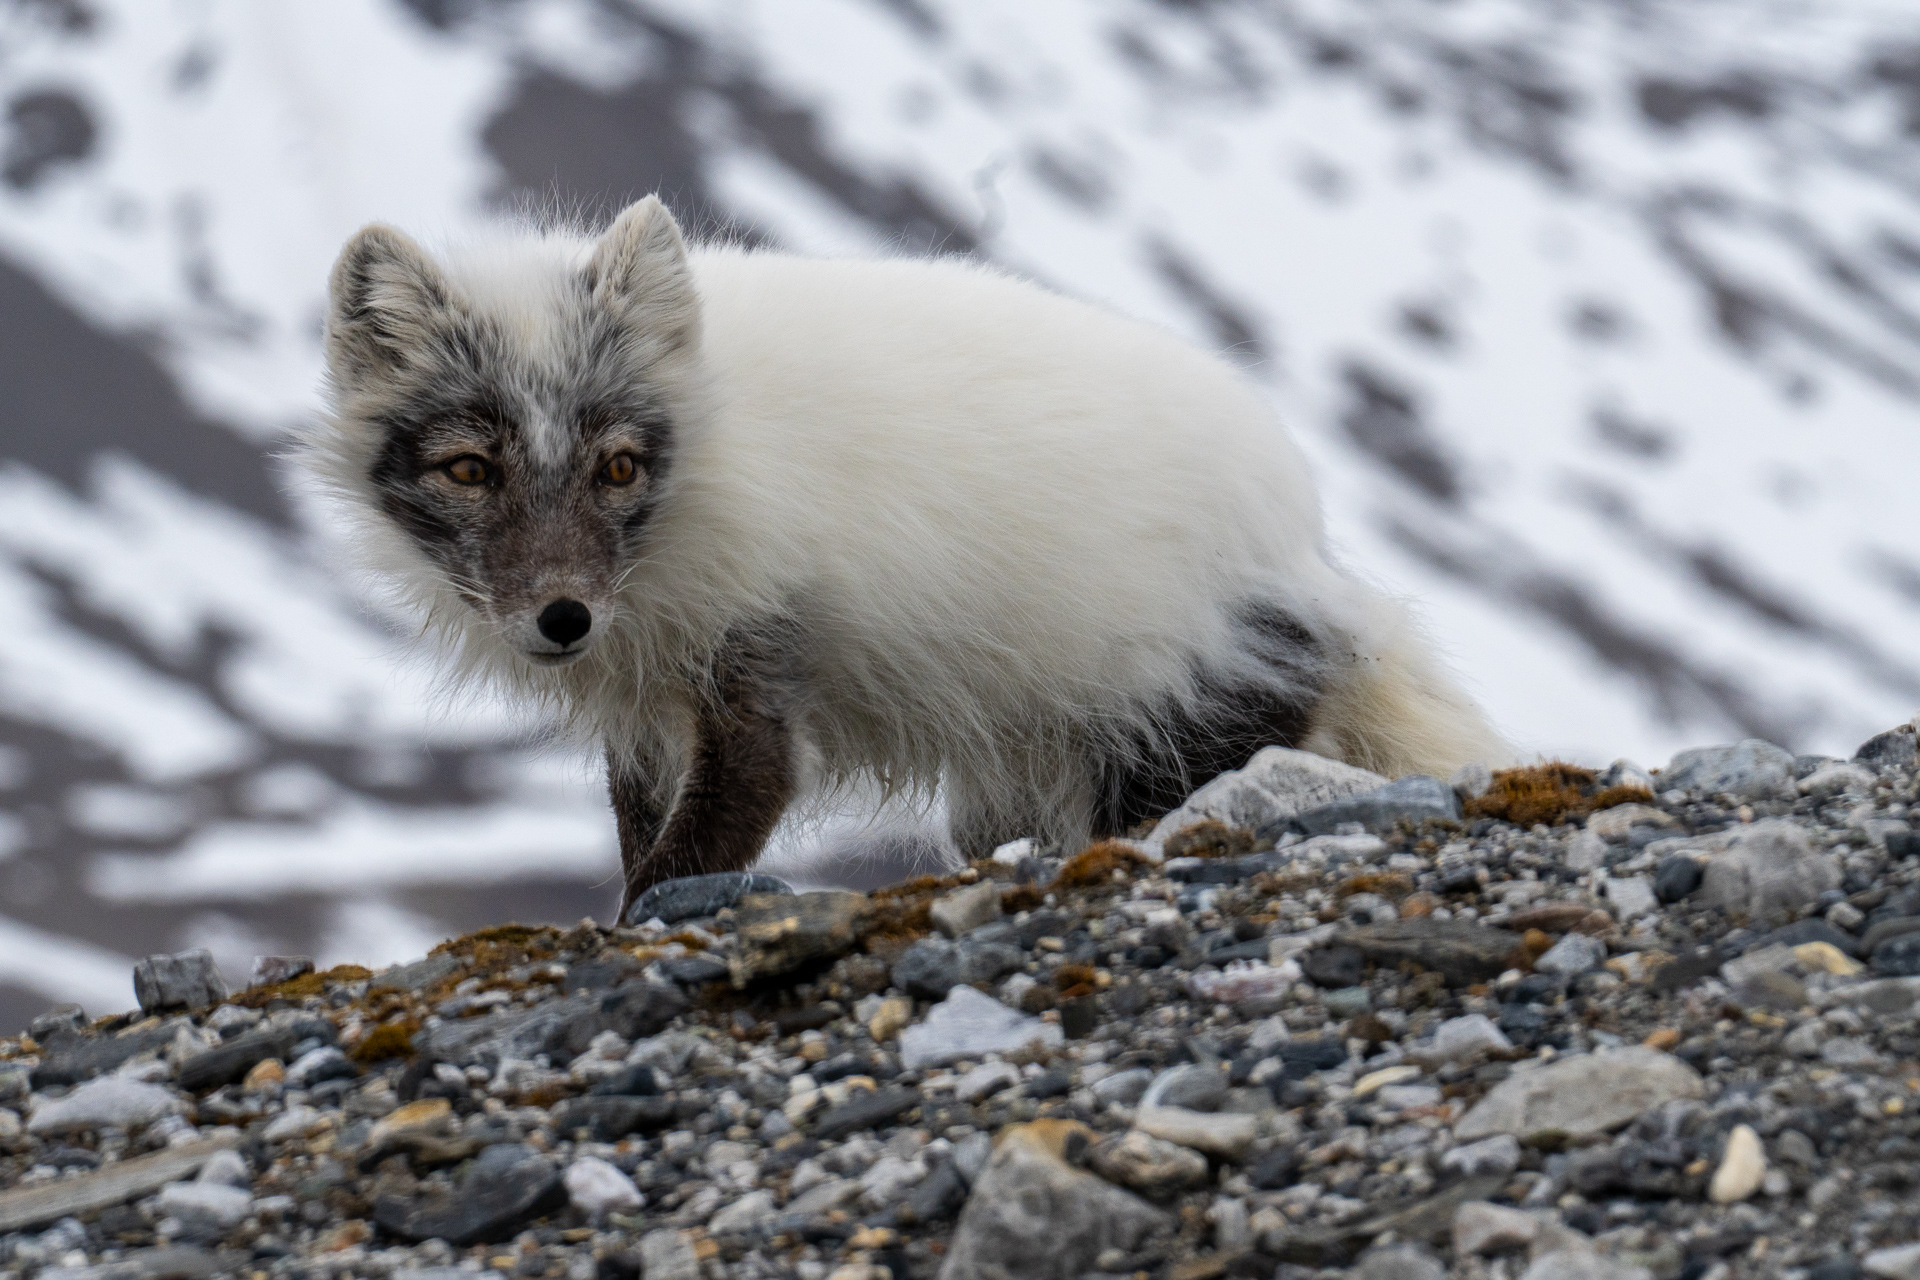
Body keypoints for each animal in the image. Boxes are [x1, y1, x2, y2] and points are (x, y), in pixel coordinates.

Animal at [307, 196, 1508, 923]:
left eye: (616, 466)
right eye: (470, 469)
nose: (564, 620)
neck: (703, 463)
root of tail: (1310, 550)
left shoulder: (756, 677)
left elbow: (673, 871)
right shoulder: (648, 713)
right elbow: (640, 836)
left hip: (1167, 743)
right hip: (1011, 788)